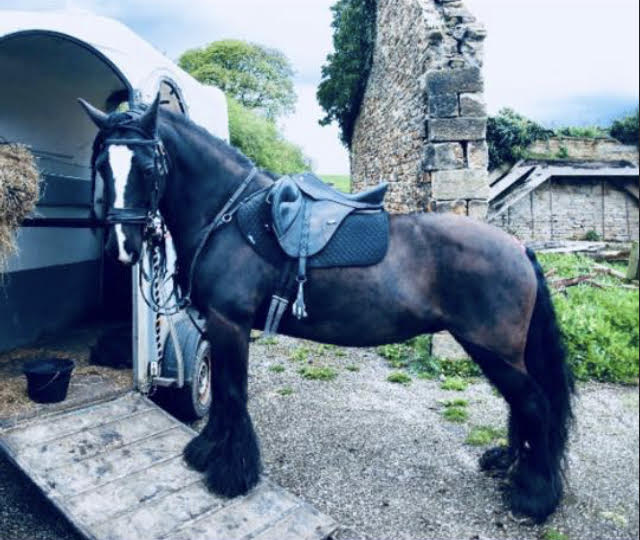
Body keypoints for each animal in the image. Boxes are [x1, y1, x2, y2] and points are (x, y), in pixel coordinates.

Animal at [78, 94, 574, 523]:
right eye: (102, 165)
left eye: (146, 167)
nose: (122, 247)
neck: (227, 217)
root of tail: (519, 248)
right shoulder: (218, 328)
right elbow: (221, 392)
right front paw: (206, 452)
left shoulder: (230, 325)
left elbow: (232, 393)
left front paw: (231, 473)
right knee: (522, 406)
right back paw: (510, 464)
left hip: (493, 350)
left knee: (534, 405)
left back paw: (535, 497)